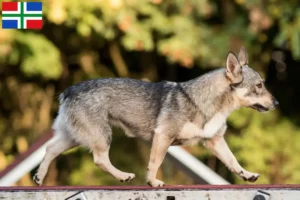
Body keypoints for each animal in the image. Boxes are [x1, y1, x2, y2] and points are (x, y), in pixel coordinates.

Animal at [32, 47, 278, 188]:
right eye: (259, 85)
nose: (276, 103)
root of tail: (68, 91)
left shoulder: (215, 141)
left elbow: (233, 161)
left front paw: (247, 175)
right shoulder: (163, 137)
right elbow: (155, 163)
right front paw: (152, 183)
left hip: (74, 137)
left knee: (50, 149)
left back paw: (39, 177)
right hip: (101, 136)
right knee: (100, 159)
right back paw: (122, 176)